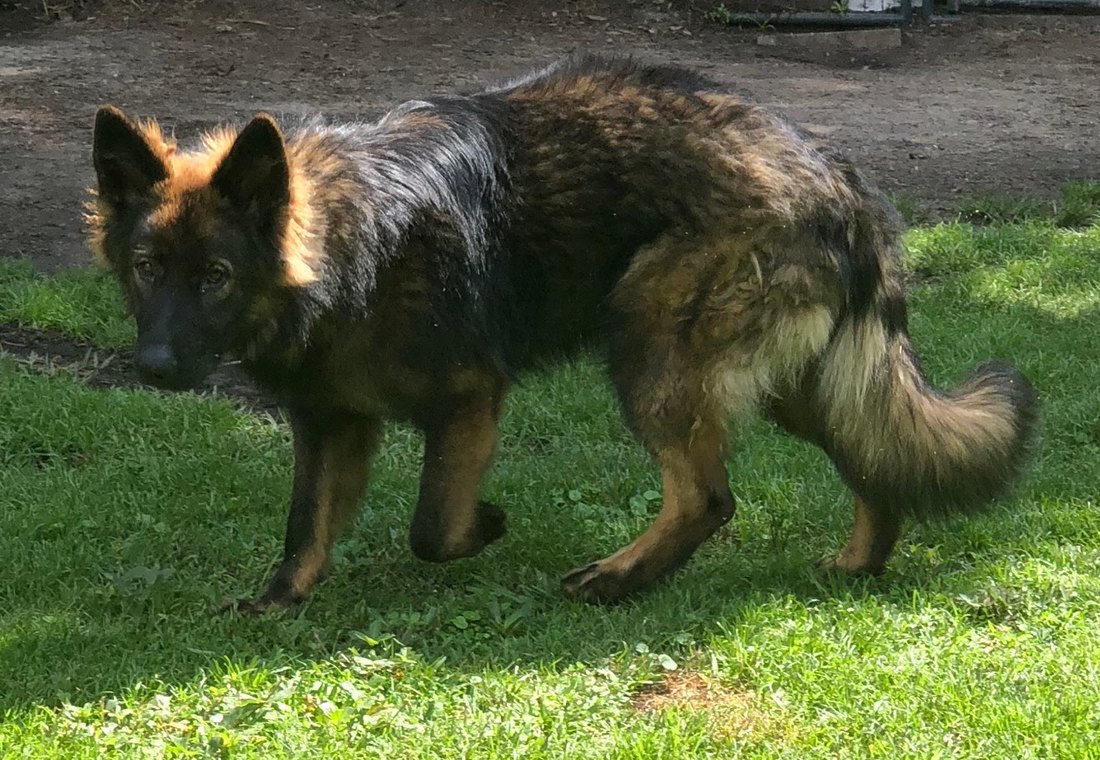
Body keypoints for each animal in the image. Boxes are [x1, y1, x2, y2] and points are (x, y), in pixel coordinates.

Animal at [88, 56, 1038, 611]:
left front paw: (485, 525)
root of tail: (836, 175)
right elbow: (305, 522)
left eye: (214, 276)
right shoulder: (328, 420)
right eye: (146, 268)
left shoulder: (468, 401)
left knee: (709, 498)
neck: (351, 251)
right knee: (869, 452)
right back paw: (858, 564)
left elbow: (431, 528)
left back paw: (617, 580)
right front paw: (280, 599)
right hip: (790, 378)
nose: (155, 366)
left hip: (650, 344)